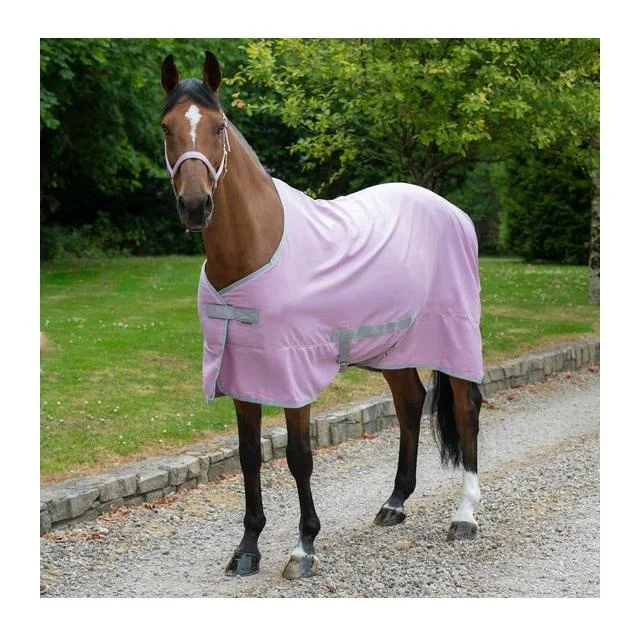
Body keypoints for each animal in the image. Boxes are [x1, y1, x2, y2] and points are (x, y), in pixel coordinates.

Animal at [160, 51, 483, 580]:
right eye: (167, 127)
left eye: (218, 126)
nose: (194, 205)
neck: (256, 249)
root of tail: (453, 212)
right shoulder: (242, 374)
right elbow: (249, 457)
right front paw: (247, 547)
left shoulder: (293, 375)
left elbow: (298, 456)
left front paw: (304, 546)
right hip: (392, 346)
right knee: (410, 402)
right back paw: (395, 503)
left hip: (454, 339)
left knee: (465, 408)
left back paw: (465, 516)